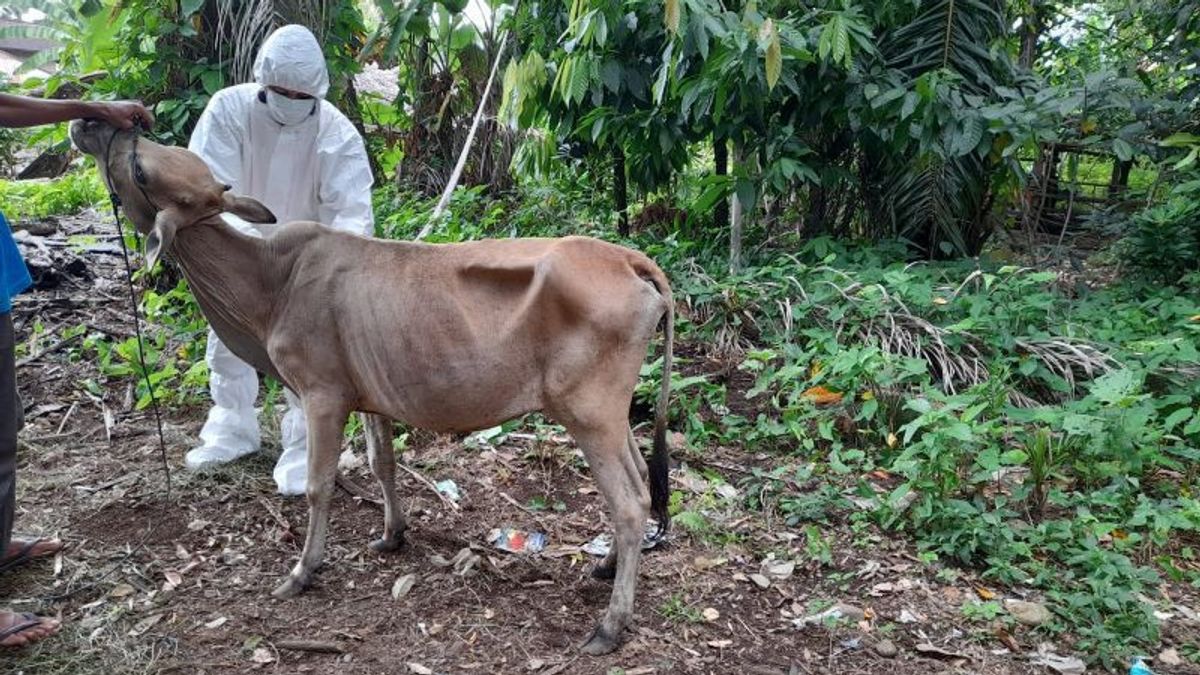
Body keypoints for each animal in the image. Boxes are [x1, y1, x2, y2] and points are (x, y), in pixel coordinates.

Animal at [70, 117, 676, 653]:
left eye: (141, 168)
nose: (90, 123)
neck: (269, 282)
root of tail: (629, 258)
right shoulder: (366, 395)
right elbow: (382, 463)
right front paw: (392, 534)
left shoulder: (320, 394)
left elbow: (318, 485)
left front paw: (303, 570)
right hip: (611, 415)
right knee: (643, 481)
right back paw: (606, 565)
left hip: (589, 412)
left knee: (629, 502)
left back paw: (610, 625)